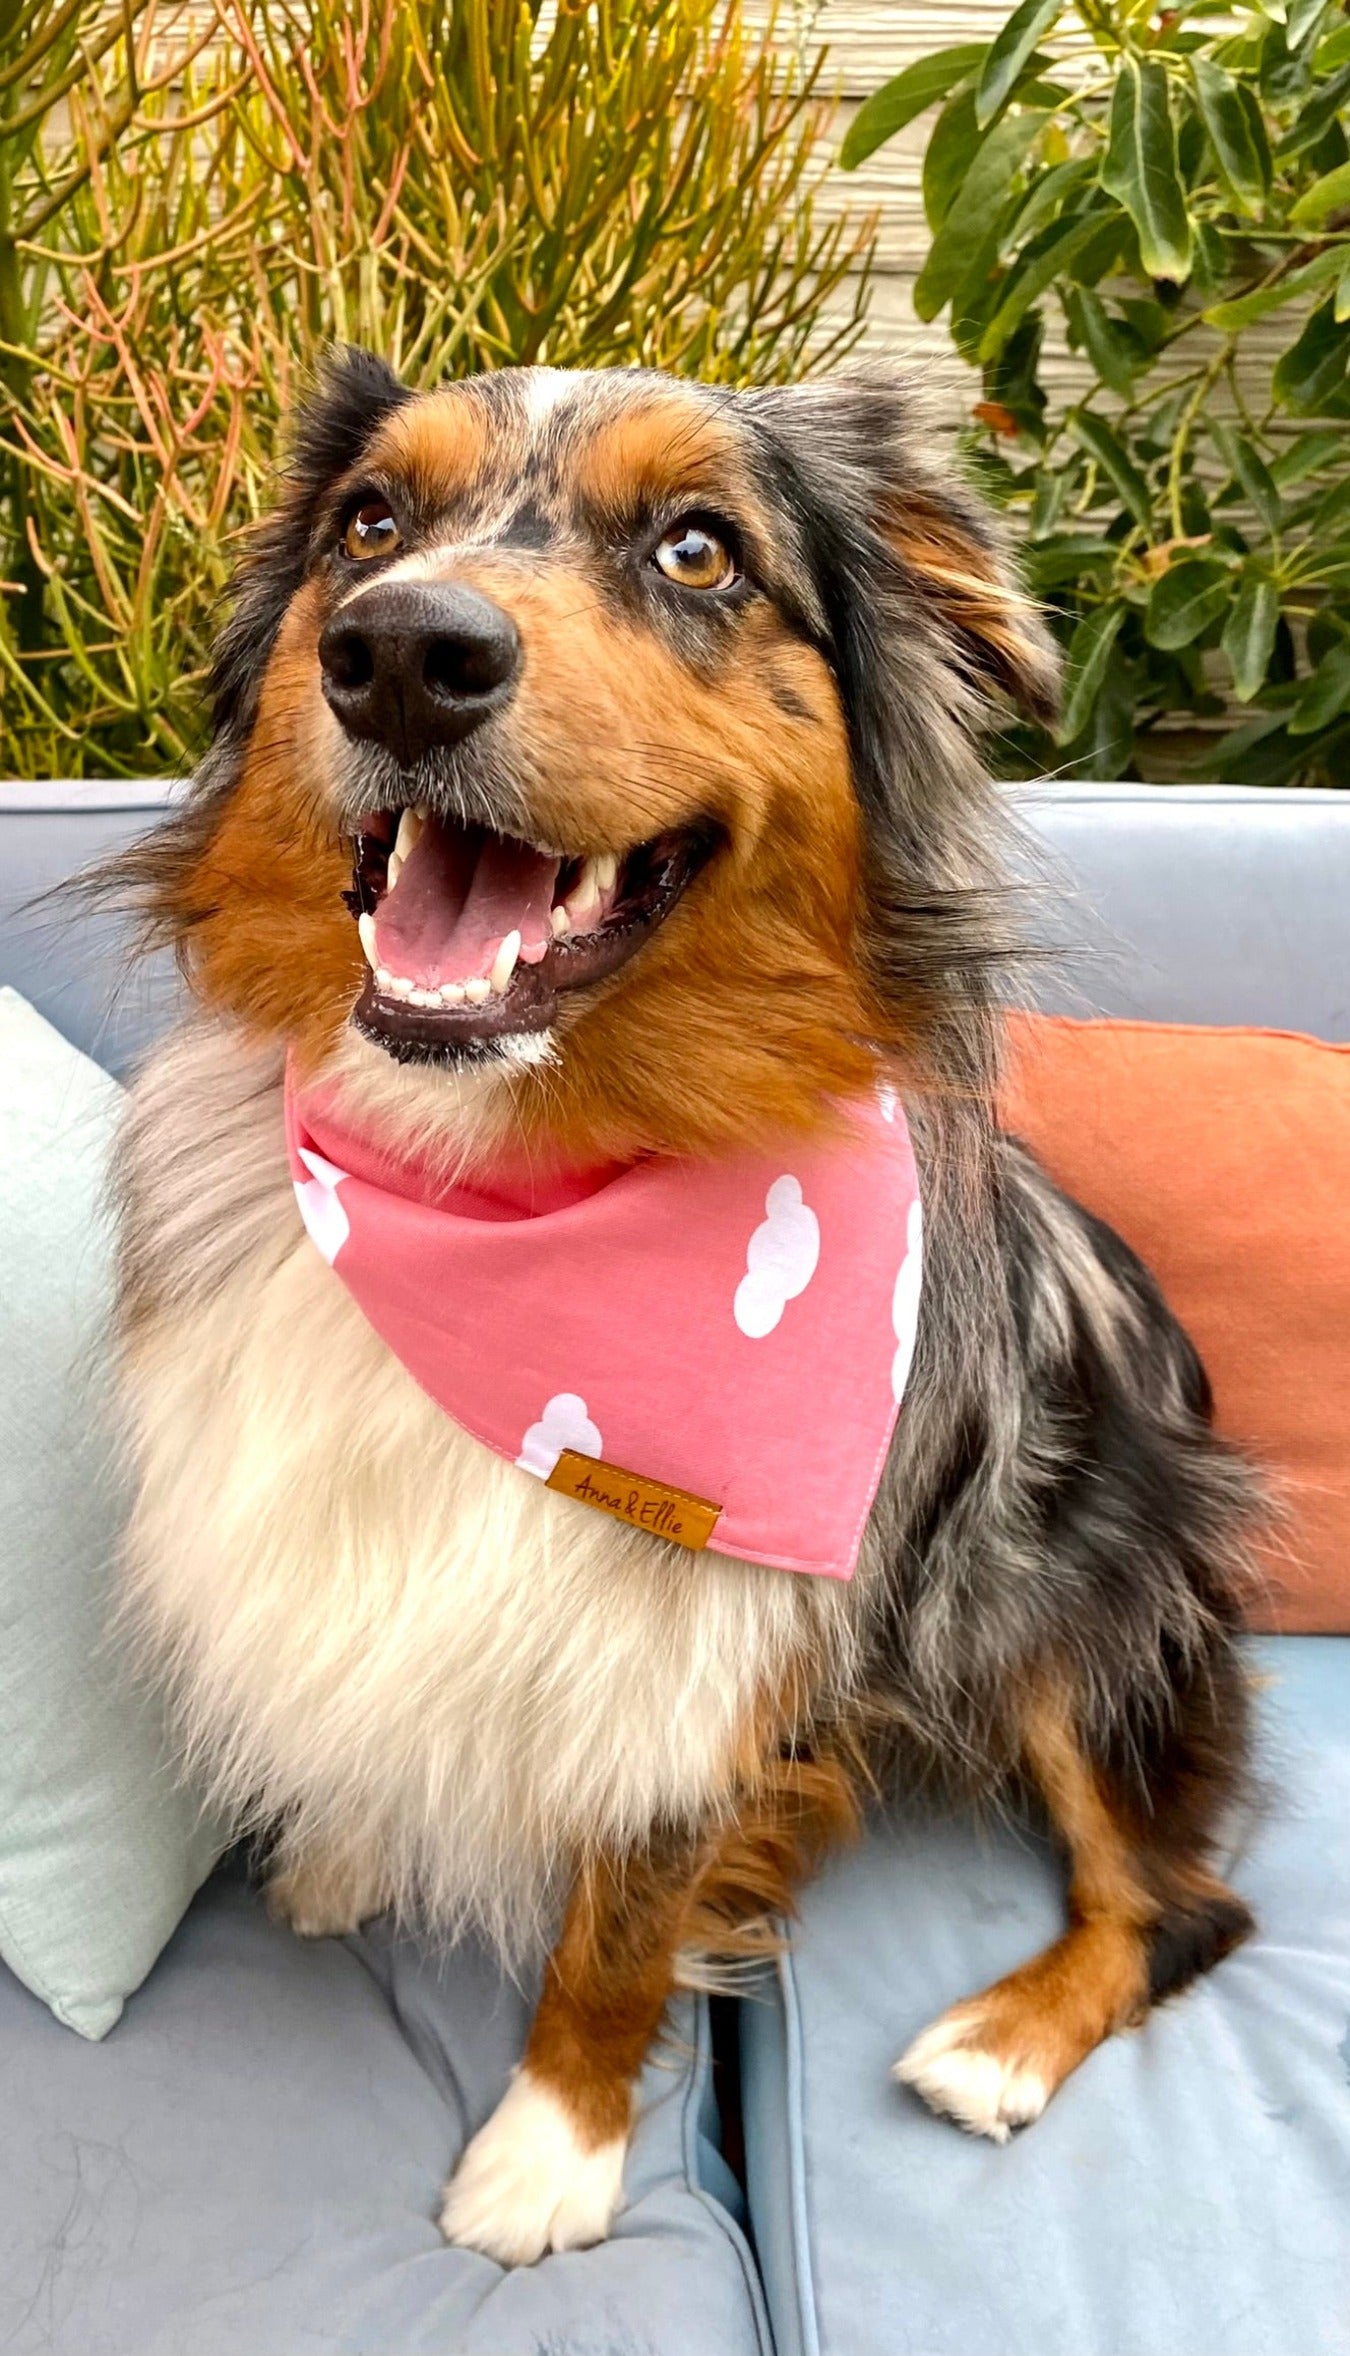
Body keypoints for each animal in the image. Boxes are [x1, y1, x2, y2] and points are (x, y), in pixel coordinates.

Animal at [110, 353, 1262, 2261]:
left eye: (700, 550)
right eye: (368, 522)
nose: (396, 650)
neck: (514, 1178)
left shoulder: (724, 1658)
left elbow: (630, 1915)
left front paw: (549, 2151)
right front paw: (352, 1846)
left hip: (1078, 1597)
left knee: (1177, 1907)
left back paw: (998, 2045)